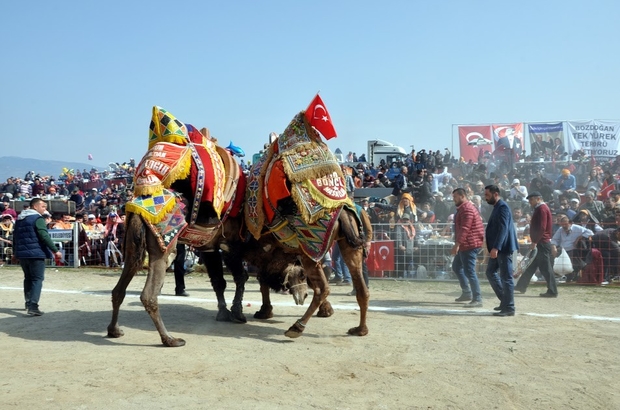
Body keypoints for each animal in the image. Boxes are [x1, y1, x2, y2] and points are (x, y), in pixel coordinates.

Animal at [246, 94, 372, 338]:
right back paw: (360, 329)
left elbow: (263, 278)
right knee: (361, 288)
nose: (299, 296)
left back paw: (296, 327)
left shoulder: (265, 249)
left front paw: (264, 311)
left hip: (310, 247)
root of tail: (341, 210)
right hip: (347, 245)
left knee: (324, 287)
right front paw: (326, 311)